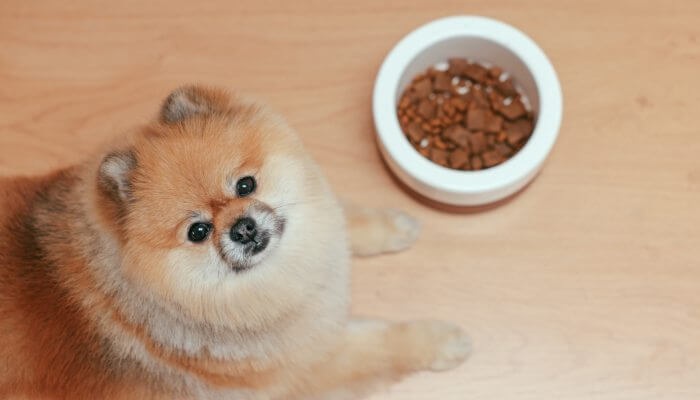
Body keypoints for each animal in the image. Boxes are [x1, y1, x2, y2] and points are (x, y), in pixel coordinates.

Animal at [1, 86, 470, 398]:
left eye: (246, 185)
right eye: (197, 231)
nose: (242, 227)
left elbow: (339, 218)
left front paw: (391, 225)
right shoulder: (310, 368)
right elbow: (384, 345)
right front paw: (443, 341)